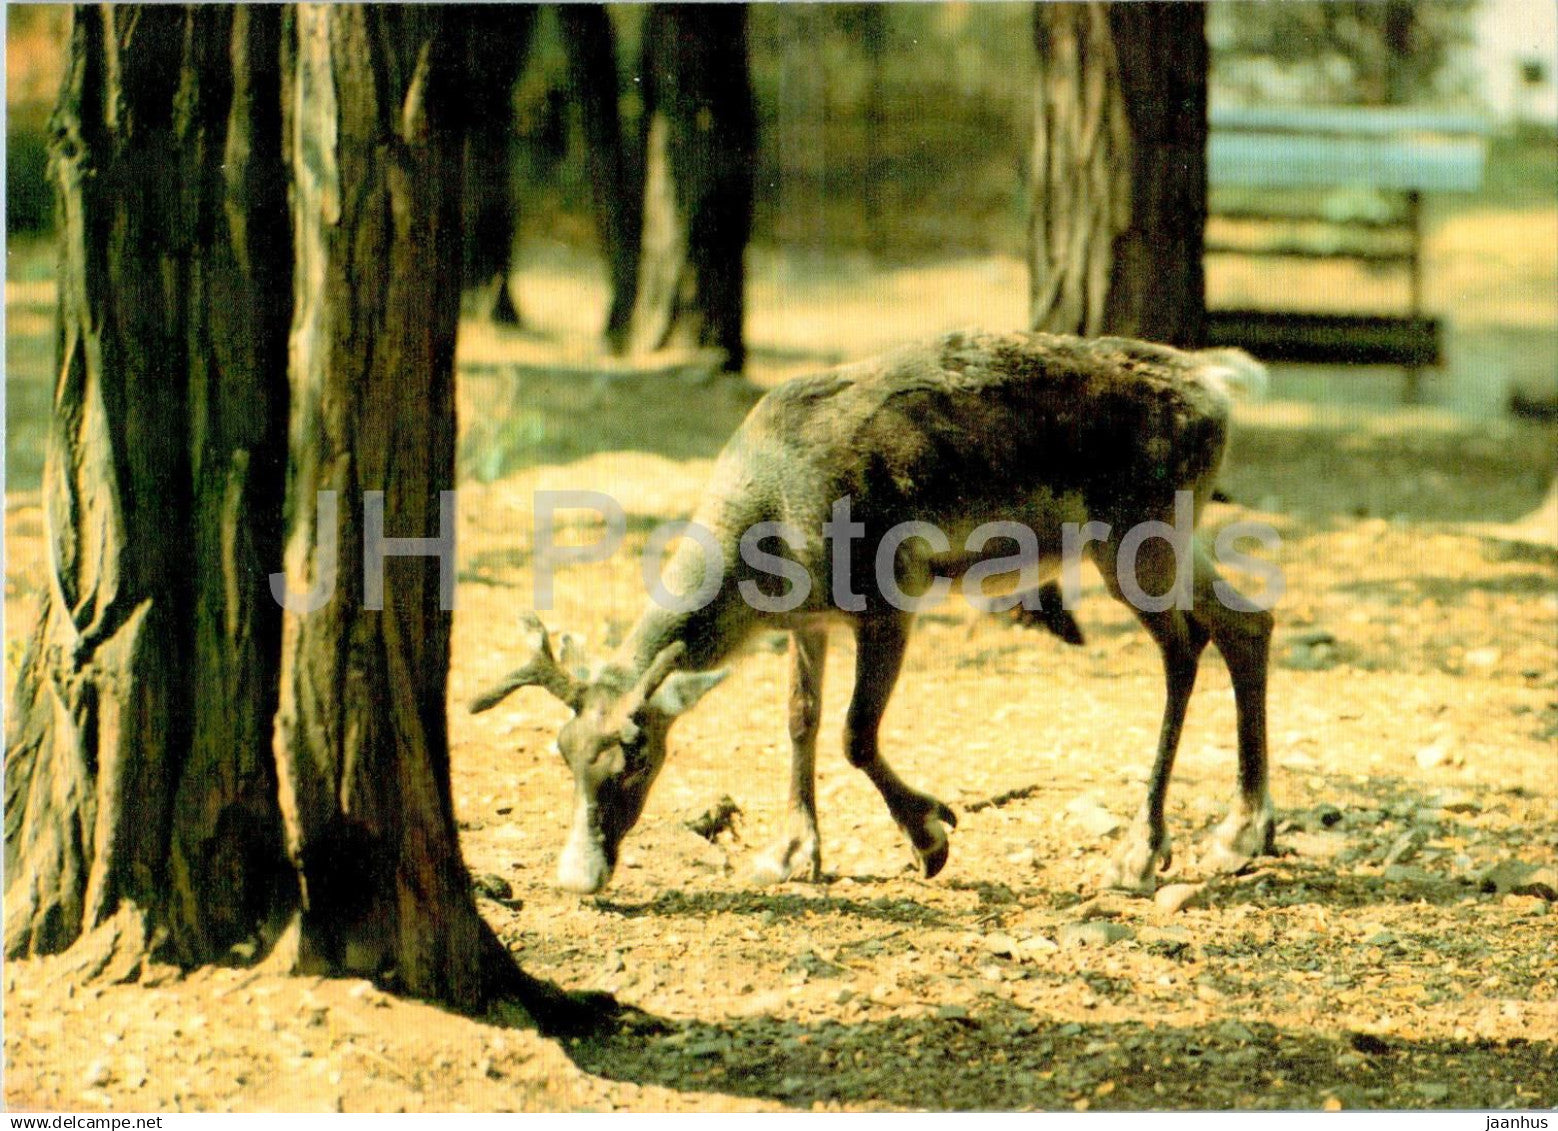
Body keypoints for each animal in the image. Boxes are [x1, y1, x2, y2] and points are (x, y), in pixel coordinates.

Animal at [472, 330, 1276, 896]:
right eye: (562, 751)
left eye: (636, 757)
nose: (577, 877)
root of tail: (1220, 385)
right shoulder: (807, 621)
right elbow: (800, 720)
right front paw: (789, 852)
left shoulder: (888, 592)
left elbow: (856, 732)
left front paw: (931, 835)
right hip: (1169, 533)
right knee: (1247, 621)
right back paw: (1240, 833)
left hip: (1137, 535)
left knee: (1186, 644)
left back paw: (1139, 854)